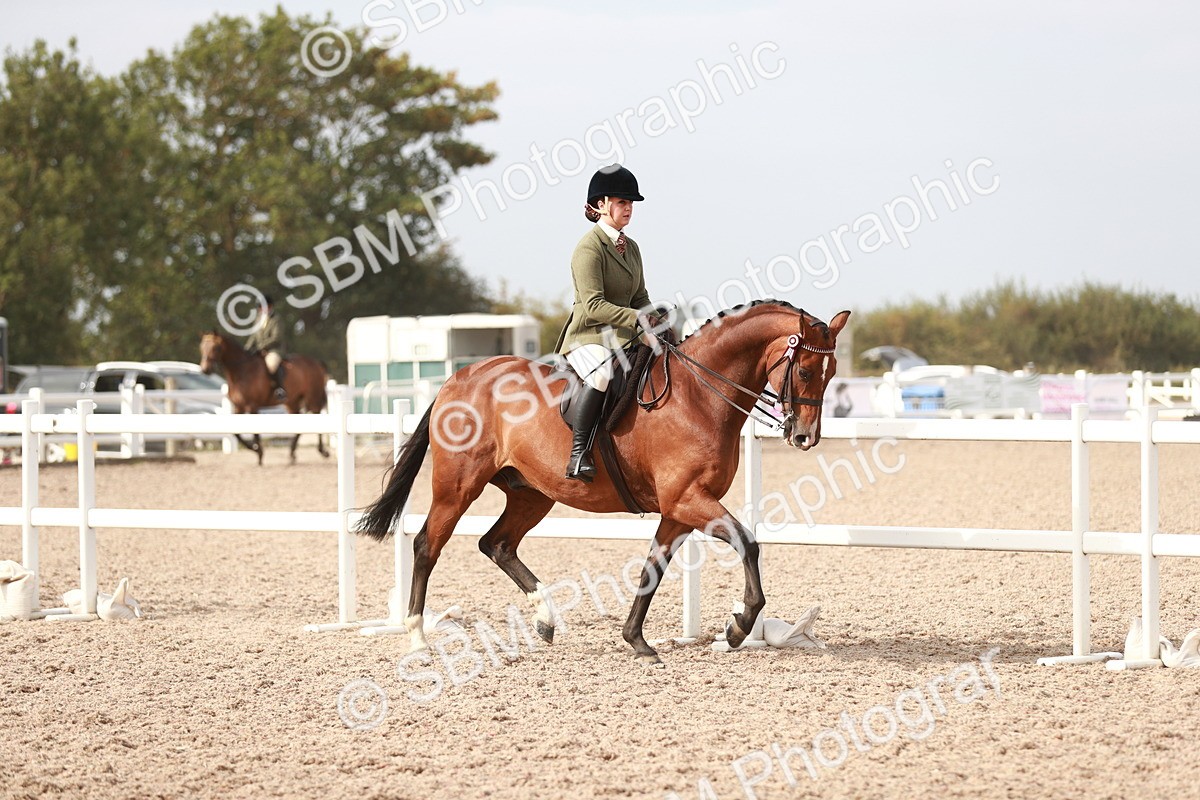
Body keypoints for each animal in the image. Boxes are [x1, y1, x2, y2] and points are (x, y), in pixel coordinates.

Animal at [199, 331, 331, 465]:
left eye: (216, 348)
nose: (205, 369)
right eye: (202, 347)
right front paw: (254, 448)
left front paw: (259, 453)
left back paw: (323, 451)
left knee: (316, 416)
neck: (241, 371)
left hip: (312, 397)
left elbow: (255, 431)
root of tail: (316, 362)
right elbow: (236, 433)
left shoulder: (252, 406)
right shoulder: (239, 407)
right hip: (292, 401)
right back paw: (292, 454)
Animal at [356, 300, 850, 665]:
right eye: (805, 371)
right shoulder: (688, 499)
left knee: (497, 544)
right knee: (427, 546)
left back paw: (545, 620)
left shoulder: (679, 509)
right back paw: (418, 640)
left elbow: (653, 568)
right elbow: (747, 543)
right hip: (457, 486)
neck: (698, 395)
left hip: (531, 494)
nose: (805, 437)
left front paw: (637, 640)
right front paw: (738, 626)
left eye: (831, 374)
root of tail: (457, 379)